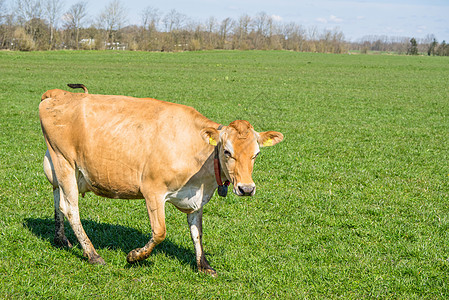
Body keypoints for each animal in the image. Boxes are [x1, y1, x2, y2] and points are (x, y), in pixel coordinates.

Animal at [40, 85, 282, 276]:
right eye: (227, 152)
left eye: (256, 154)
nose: (246, 188)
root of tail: (58, 94)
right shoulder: (153, 190)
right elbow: (159, 232)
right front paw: (135, 256)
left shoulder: (196, 198)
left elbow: (197, 233)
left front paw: (203, 265)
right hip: (64, 161)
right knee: (70, 208)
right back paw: (92, 254)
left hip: (57, 164)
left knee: (57, 196)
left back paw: (61, 239)